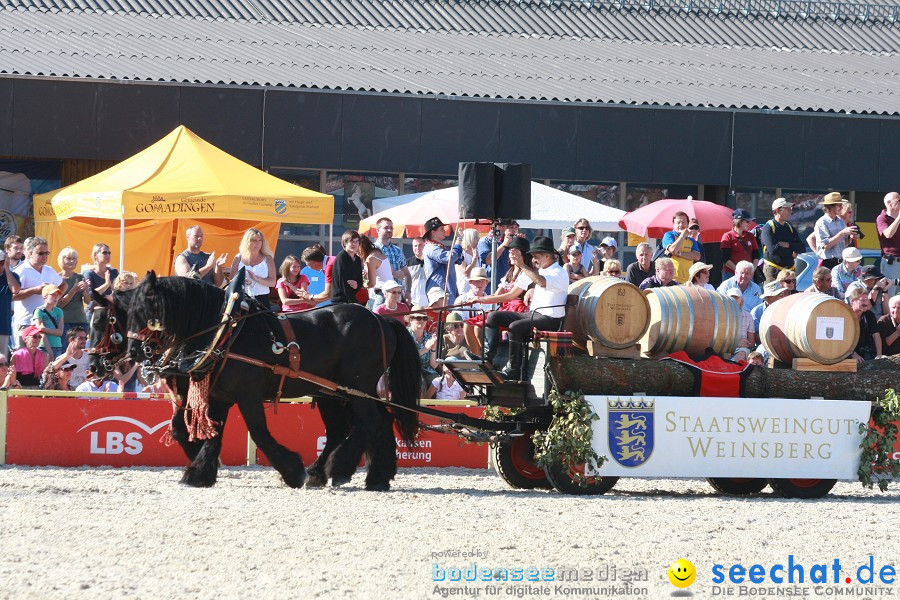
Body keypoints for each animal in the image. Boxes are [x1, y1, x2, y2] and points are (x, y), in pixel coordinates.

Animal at [126, 274, 422, 492]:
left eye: (147, 312)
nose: (134, 352)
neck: (227, 333)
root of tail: (381, 320)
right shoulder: (219, 395)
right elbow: (213, 434)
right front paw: (200, 473)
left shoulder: (247, 394)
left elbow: (259, 433)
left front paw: (292, 471)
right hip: (336, 391)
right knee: (367, 424)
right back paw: (373, 477)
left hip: (356, 387)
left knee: (367, 422)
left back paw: (339, 469)